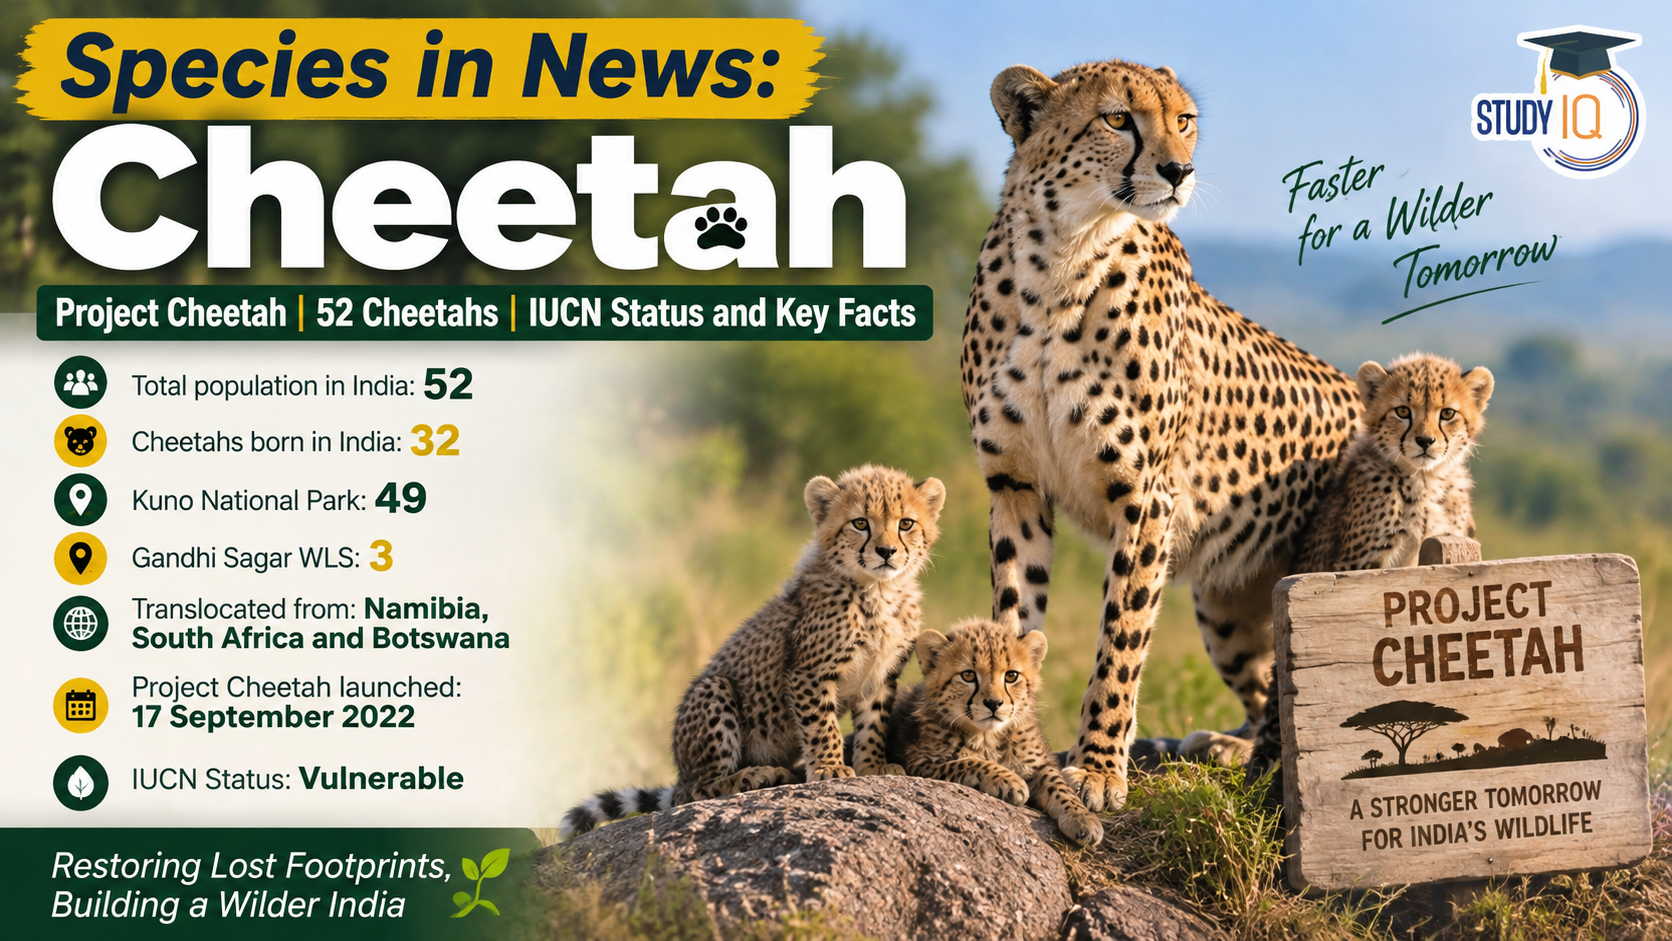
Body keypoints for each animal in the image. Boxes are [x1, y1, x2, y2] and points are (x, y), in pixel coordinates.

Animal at [559, 464, 945, 838]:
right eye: (860, 523)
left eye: (906, 523)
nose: (886, 552)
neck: (880, 591)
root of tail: (681, 773)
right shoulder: (808, 673)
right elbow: (822, 726)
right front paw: (830, 767)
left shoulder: (881, 676)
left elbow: (874, 725)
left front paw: (872, 766)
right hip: (714, 689)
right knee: (696, 791)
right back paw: (754, 776)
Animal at [887, 618, 1103, 846]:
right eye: (968, 675)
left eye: (1011, 676)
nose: (993, 703)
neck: (988, 736)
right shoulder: (921, 761)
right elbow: (968, 762)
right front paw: (1008, 780)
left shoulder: (1039, 764)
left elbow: (1059, 786)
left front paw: (1082, 816)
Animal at [961, 57, 1360, 811]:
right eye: (1118, 119)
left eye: (1184, 120)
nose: (1179, 169)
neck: (1062, 260)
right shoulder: (1015, 487)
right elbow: (1012, 619)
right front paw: (1004, 742)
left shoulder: (1146, 498)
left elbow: (1121, 636)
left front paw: (1096, 767)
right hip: (1225, 607)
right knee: (1265, 688)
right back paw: (1226, 745)